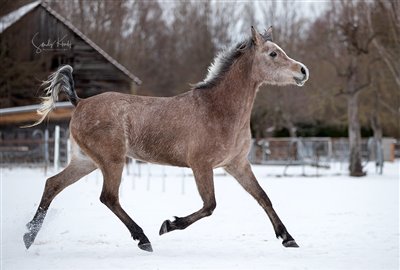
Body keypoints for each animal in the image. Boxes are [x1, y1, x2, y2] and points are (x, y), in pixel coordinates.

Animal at [22, 26, 310, 252]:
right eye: (273, 54)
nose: (303, 71)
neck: (218, 109)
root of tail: (79, 102)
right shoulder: (201, 165)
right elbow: (210, 205)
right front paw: (168, 224)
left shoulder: (237, 165)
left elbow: (263, 197)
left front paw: (288, 238)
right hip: (111, 161)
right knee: (109, 197)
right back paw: (143, 239)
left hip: (86, 161)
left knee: (53, 184)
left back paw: (28, 236)